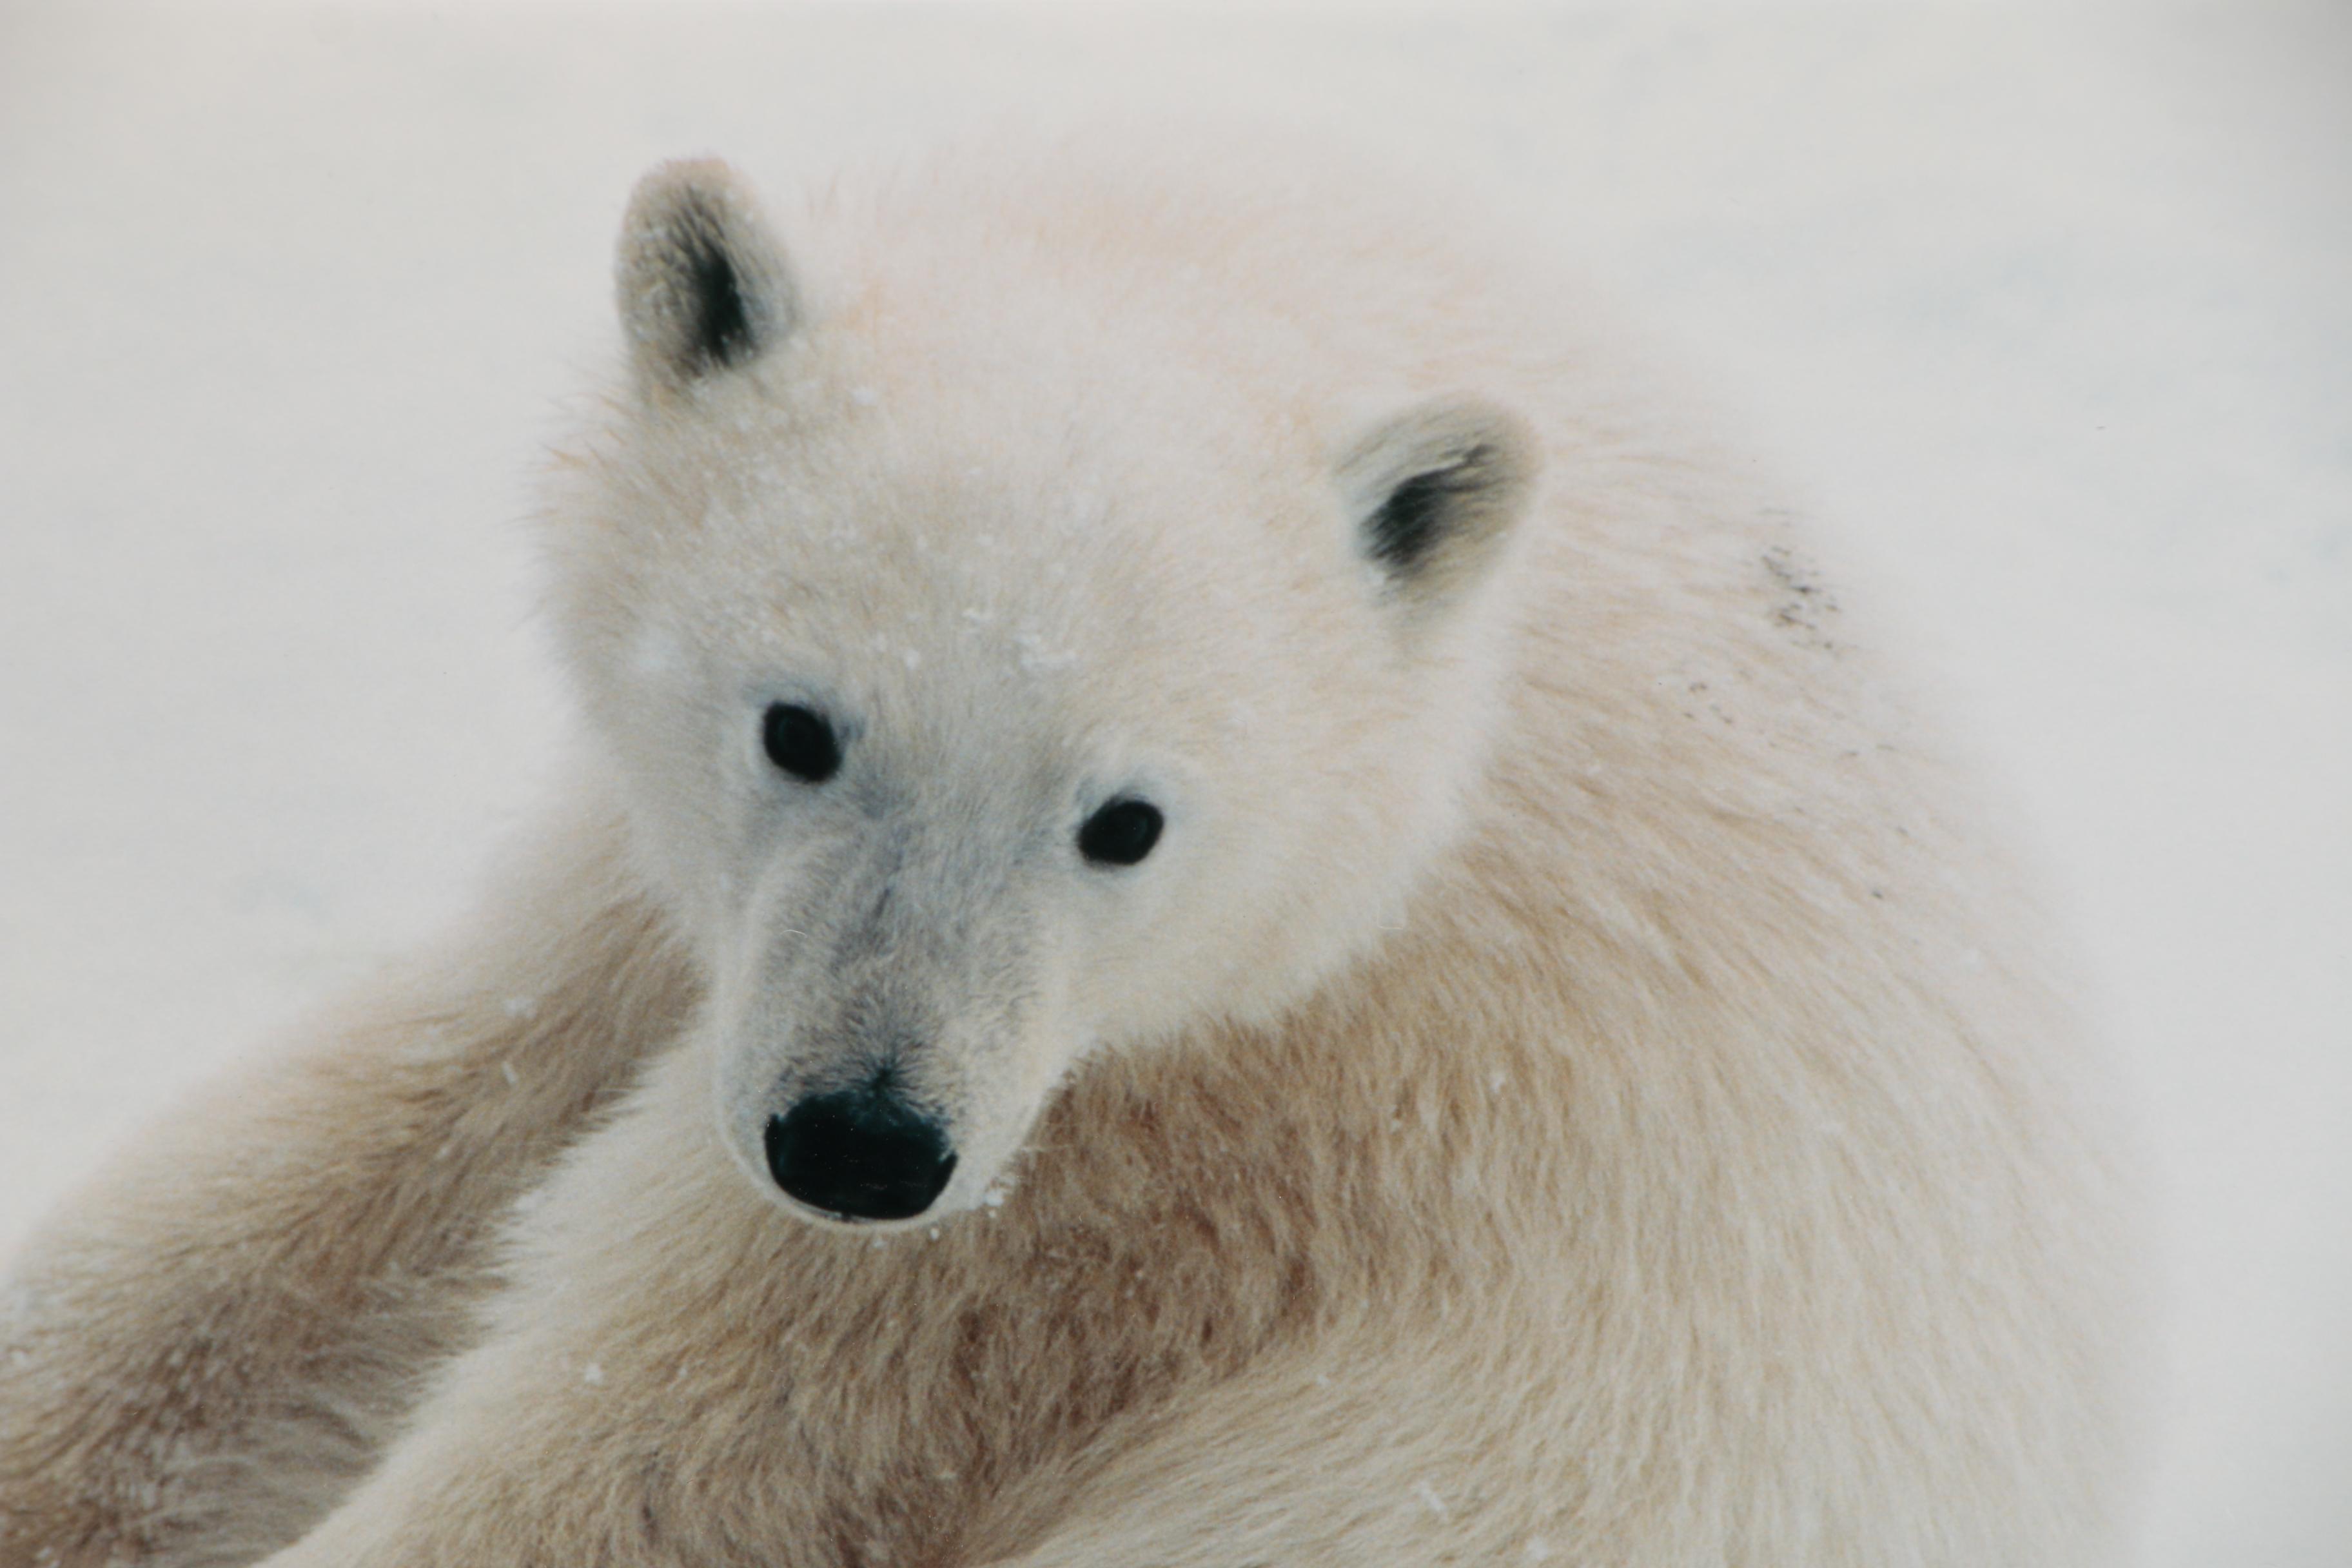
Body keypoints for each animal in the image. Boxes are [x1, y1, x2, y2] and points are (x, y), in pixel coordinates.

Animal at [0, 137, 2139, 1567]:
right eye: (799, 724)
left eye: (1126, 822)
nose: (860, 1138)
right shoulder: (672, 898)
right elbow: (363, 1177)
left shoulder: (1168, 1161)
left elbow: (675, 1437)